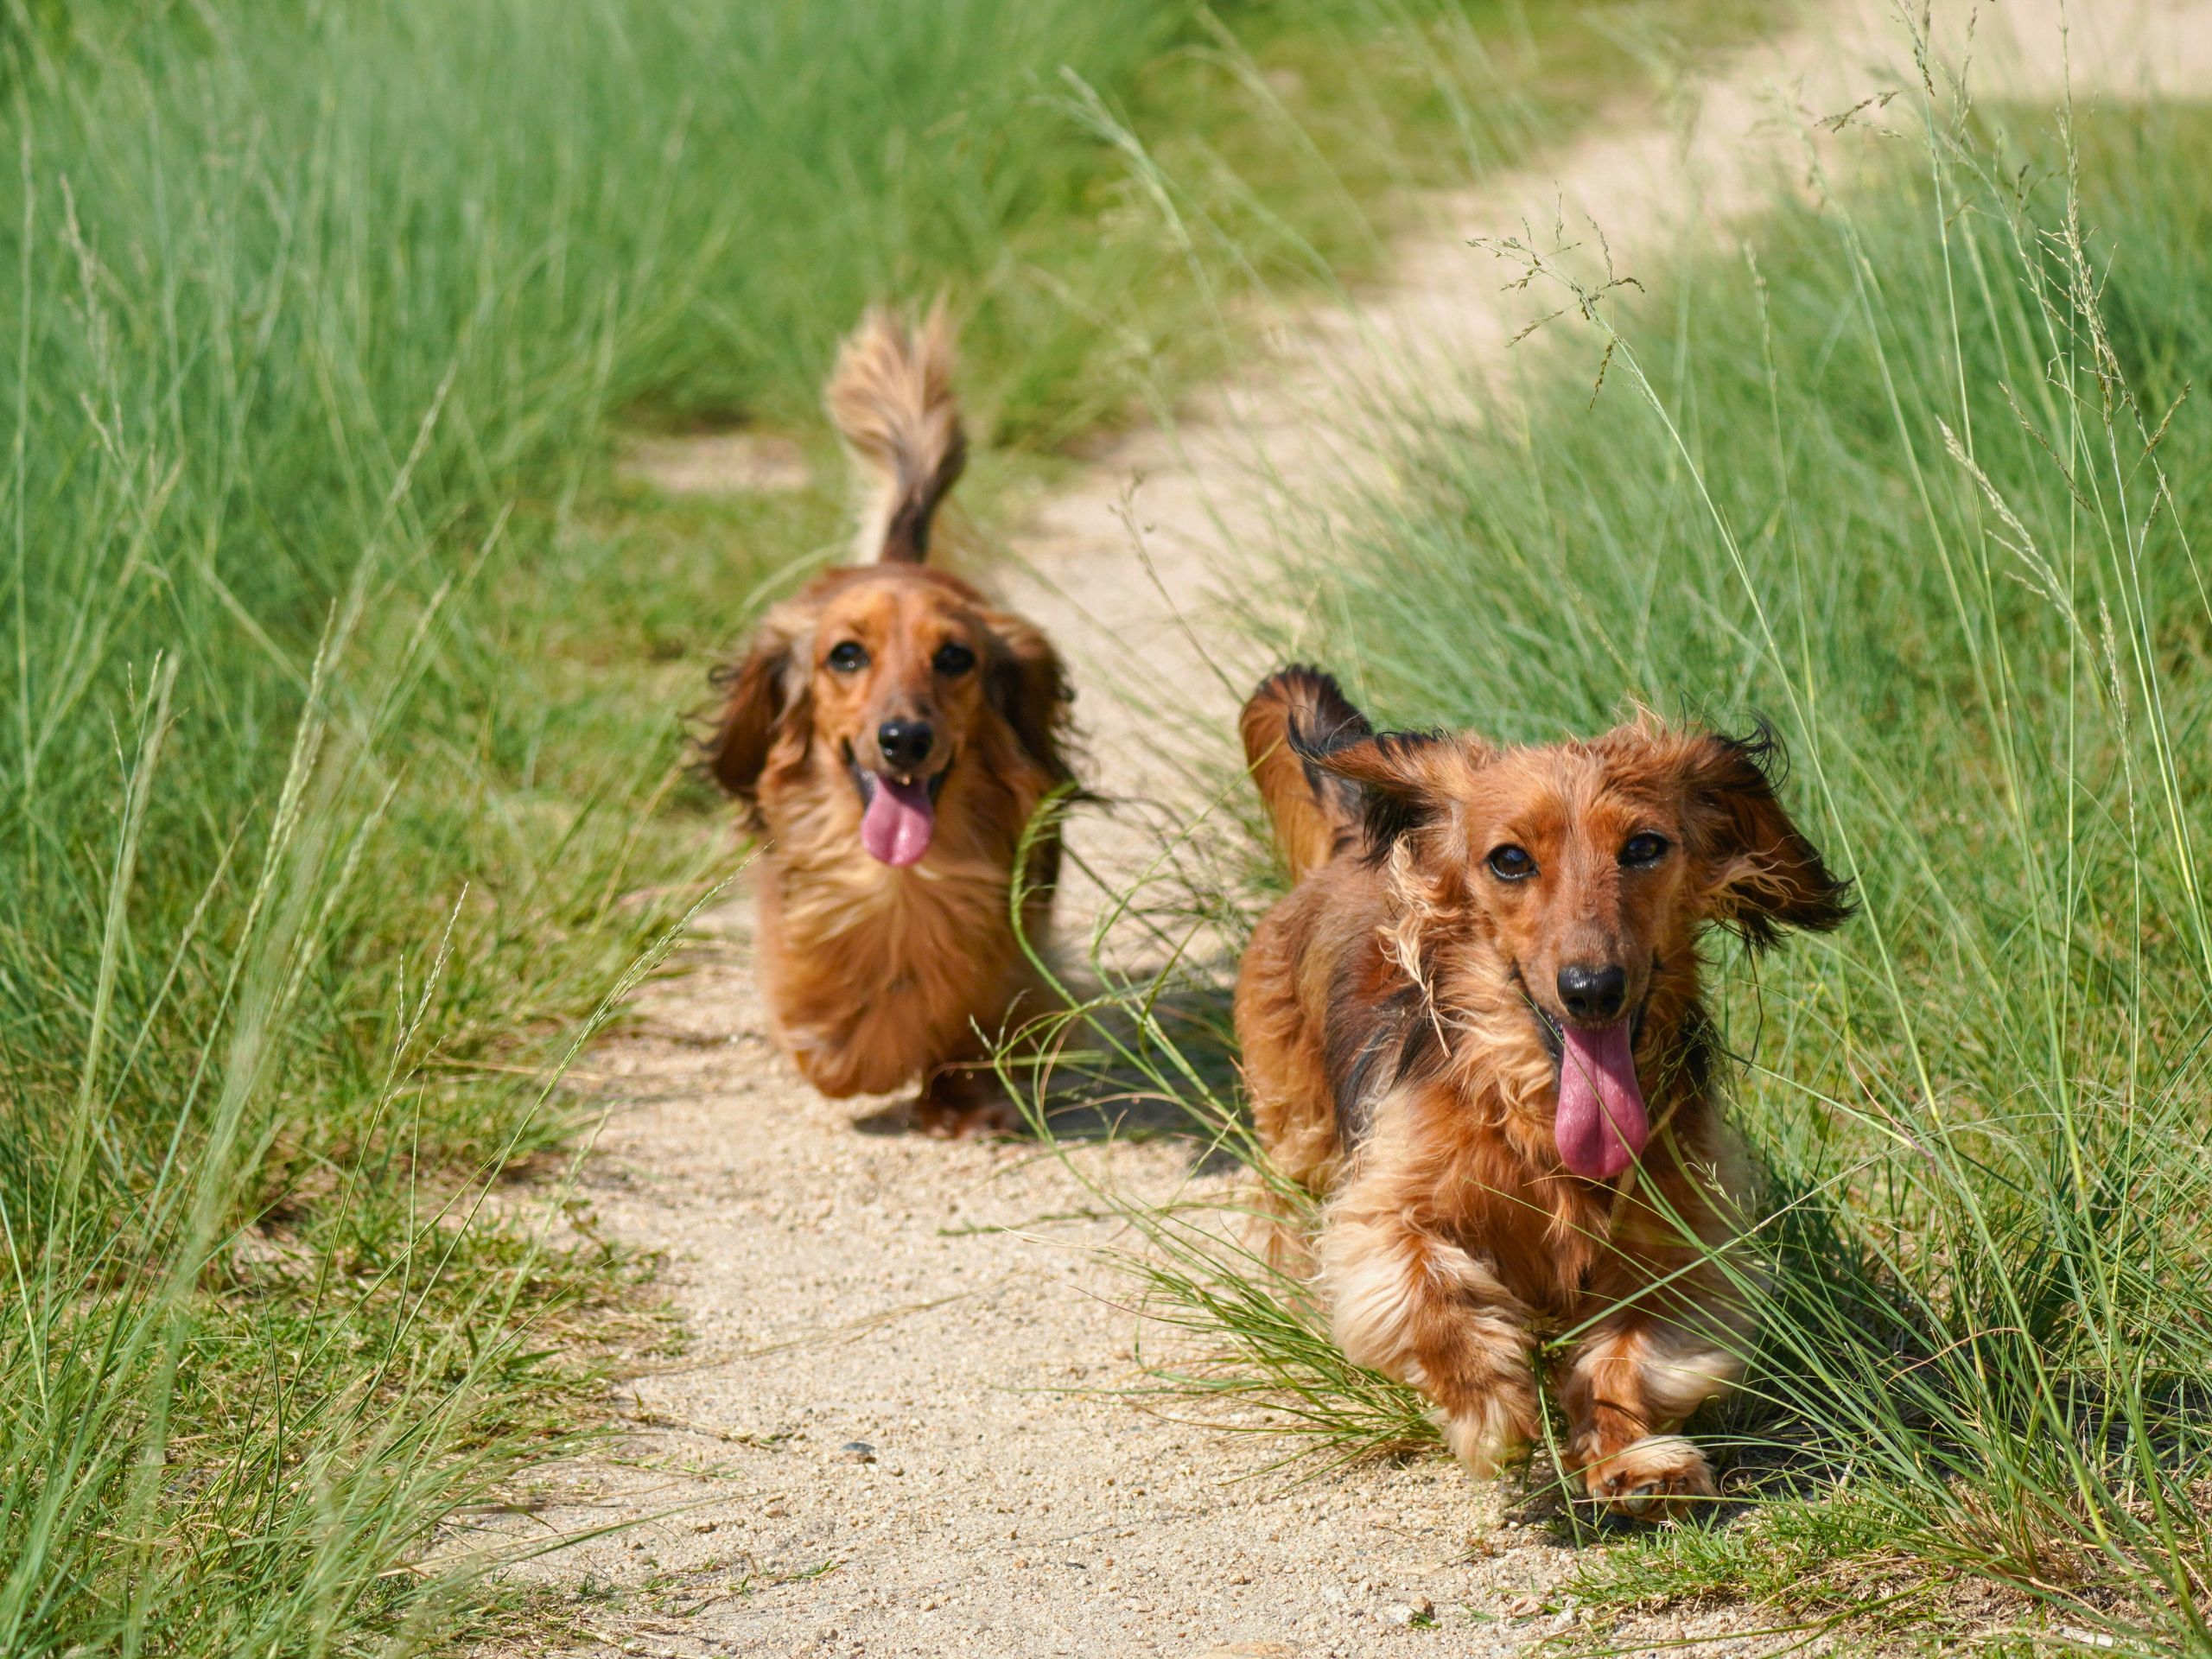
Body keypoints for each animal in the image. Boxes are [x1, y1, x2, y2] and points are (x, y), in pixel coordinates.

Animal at [703, 309, 1075, 1141]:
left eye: (956, 657)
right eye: (846, 655)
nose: (905, 741)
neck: (902, 883)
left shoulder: (1011, 949)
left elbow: (981, 1013)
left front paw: (962, 1099)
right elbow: (829, 1031)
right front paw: (855, 1049)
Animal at [1238, 668, 1840, 1522]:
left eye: (1644, 846)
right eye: (1510, 860)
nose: (1592, 989)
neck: (1537, 1116)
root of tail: (1354, 841)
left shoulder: (1679, 1246)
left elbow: (1630, 1354)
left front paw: (1632, 1460)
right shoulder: (1384, 1212)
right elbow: (1428, 1290)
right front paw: (1491, 1405)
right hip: (1301, 1132)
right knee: (1282, 1204)